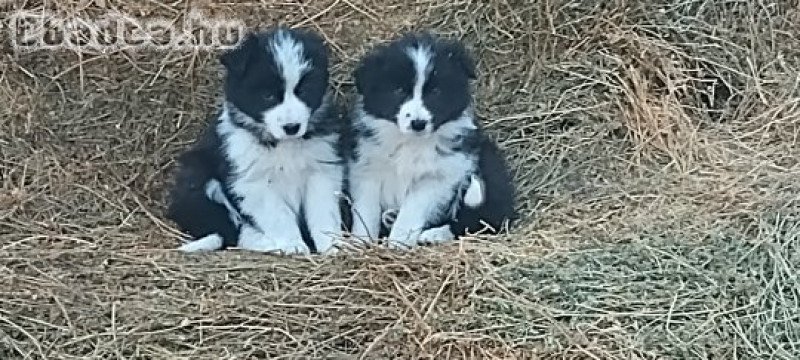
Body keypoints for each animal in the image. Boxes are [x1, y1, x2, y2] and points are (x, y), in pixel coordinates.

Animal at [166, 26, 344, 255]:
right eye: (267, 96)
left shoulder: (321, 171)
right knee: (231, 232)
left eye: (303, 91)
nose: (292, 127)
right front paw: (293, 245)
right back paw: (267, 243)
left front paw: (334, 245)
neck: (282, 144)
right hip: (197, 179)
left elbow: (323, 213)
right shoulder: (253, 182)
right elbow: (280, 215)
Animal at [346, 33, 516, 248]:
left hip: (488, 164)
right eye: (399, 90)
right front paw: (360, 242)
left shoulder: (437, 177)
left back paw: (432, 235)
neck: (411, 143)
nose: (418, 123)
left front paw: (397, 243)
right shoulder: (367, 170)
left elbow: (410, 212)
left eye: (435, 92)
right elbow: (366, 211)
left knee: (482, 220)